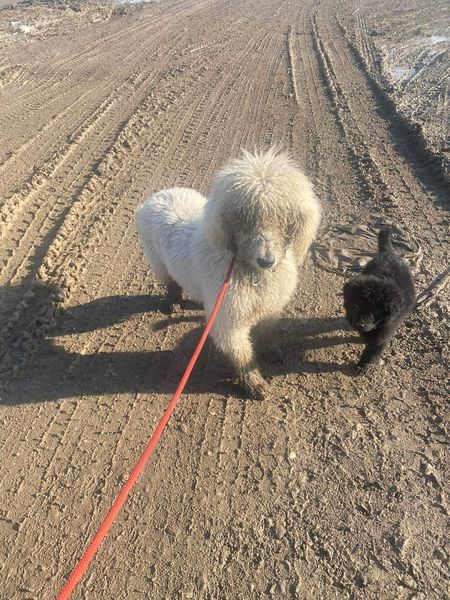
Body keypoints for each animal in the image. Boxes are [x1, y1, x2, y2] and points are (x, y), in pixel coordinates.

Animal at [136, 149, 320, 398]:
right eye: (243, 217)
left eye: (284, 216)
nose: (266, 261)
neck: (248, 269)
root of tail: (159, 195)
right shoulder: (229, 320)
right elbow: (241, 355)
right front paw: (252, 383)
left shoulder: (269, 307)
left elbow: (267, 333)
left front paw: (270, 351)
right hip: (157, 261)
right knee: (170, 282)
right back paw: (174, 300)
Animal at [344, 227, 414, 372]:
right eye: (356, 306)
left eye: (376, 312)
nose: (360, 325)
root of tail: (389, 253)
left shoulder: (384, 332)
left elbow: (372, 351)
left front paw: (363, 365)